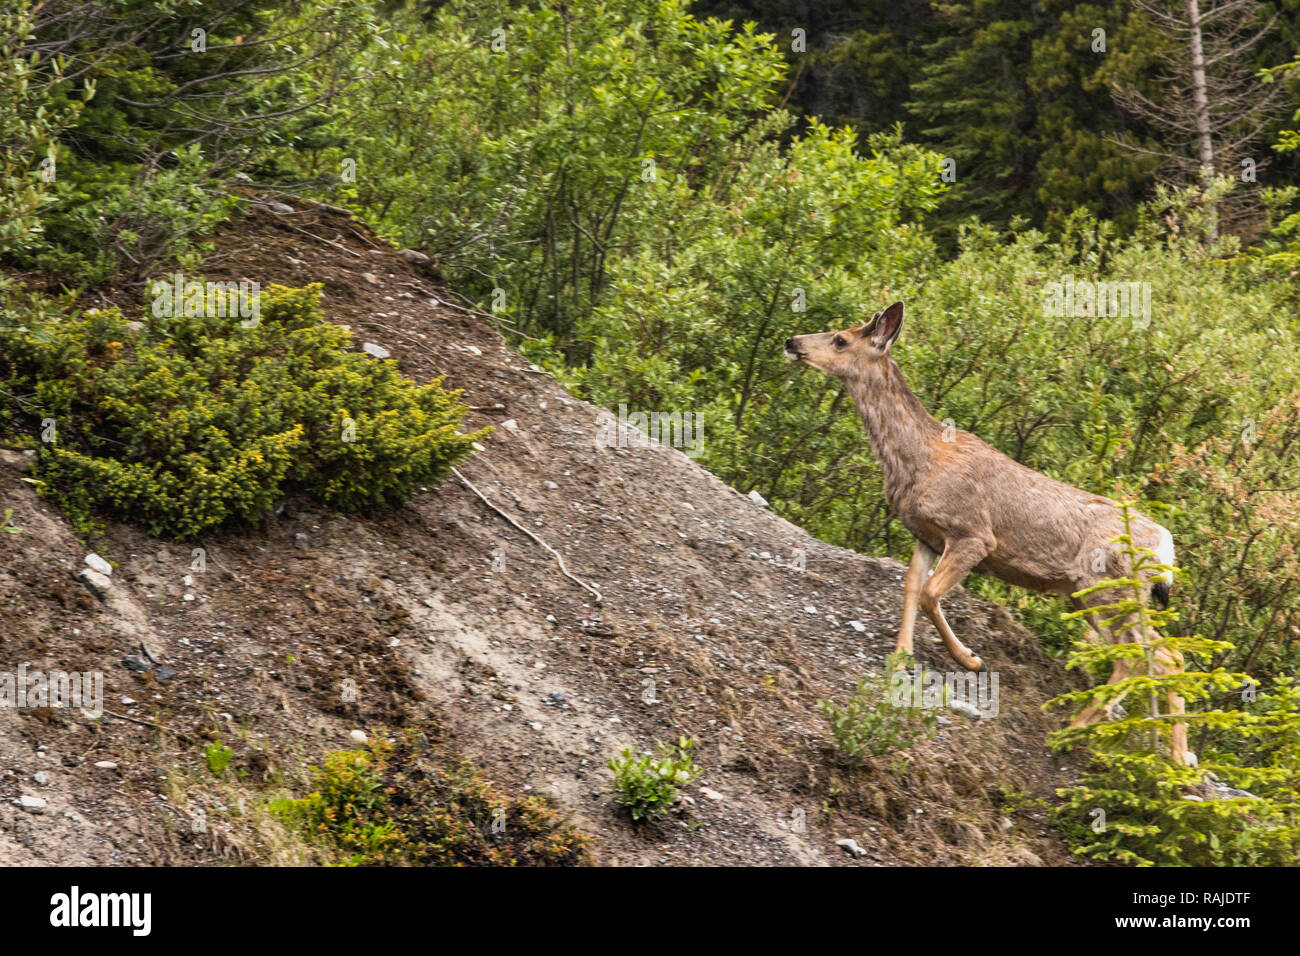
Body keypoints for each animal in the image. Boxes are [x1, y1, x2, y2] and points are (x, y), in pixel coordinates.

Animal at [780, 303, 1190, 764]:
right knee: (1164, 655)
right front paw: (900, 658)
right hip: (1102, 594)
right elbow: (910, 587)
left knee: (1145, 656)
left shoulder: (973, 534)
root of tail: (1166, 546)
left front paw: (970, 660)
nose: (791, 341)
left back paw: (1074, 733)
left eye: (840, 339)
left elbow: (930, 594)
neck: (917, 458)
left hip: (1106, 587)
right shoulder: (924, 534)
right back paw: (1175, 760)